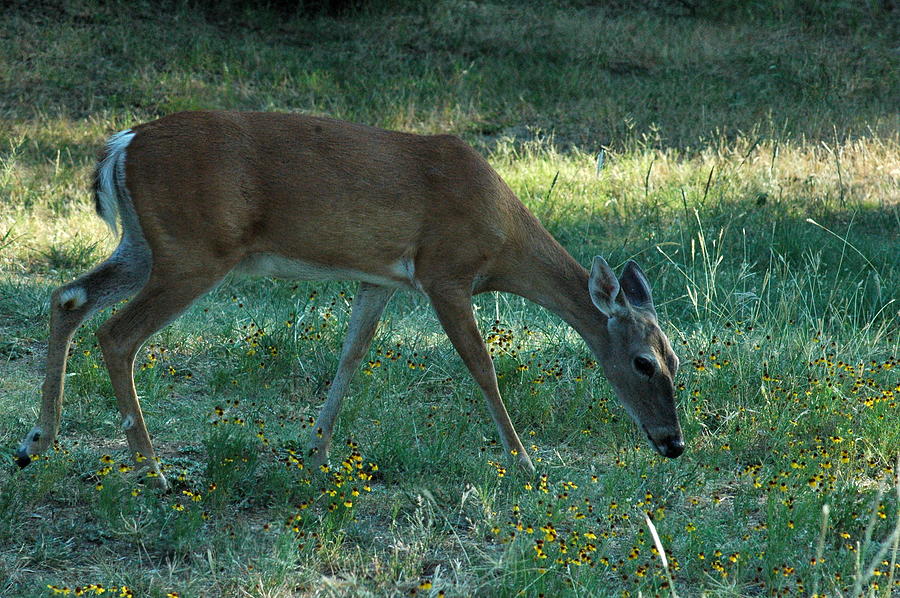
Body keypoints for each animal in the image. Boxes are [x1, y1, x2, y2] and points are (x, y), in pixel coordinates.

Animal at [15, 111, 683, 490]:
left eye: (677, 361)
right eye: (644, 363)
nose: (673, 443)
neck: (502, 236)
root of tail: (120, 146)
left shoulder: (379, 280)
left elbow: (350, 357)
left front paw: (317, 455)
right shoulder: (445, 272)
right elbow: (482, 366)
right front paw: (523, 462)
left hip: (146, 244)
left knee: (69, 297)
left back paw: (36, 443)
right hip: (194, 249)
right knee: (116, 333)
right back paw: (150, 469)